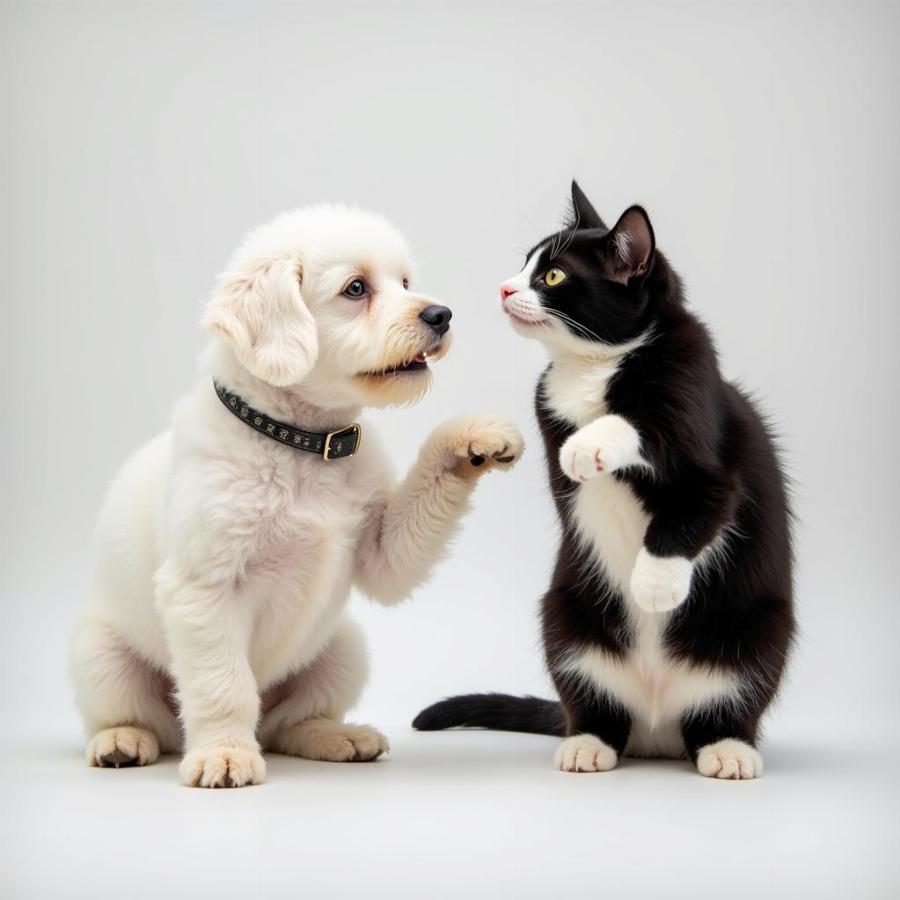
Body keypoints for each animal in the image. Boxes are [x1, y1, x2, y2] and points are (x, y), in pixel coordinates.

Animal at [74, 206, 524, 788]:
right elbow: (223, 686)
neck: (305, 446)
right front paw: (224, 754)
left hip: (345, 647)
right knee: (146, 718)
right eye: (356, 289)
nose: (441, 315)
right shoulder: (205, 591)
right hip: (98, 655)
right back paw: (124, 741)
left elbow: (425, 490)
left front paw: (475, 437)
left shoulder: (382, 555)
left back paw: (335, 736)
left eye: (404, 283)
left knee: (285, 724)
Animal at [414, 179, 796, 776]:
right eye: (524, 264)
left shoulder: (703, 426)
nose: (504, 287)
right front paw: (572, 444)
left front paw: (654, 581)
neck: (595, 366)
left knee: (730, 701)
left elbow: (693, 489)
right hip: (566, 619)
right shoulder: (547, 407)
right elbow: (567, 443)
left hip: (756, 635)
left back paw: (728, 749)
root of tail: (659, 729)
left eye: (552, 276)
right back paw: (588, 743)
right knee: (597, 704)